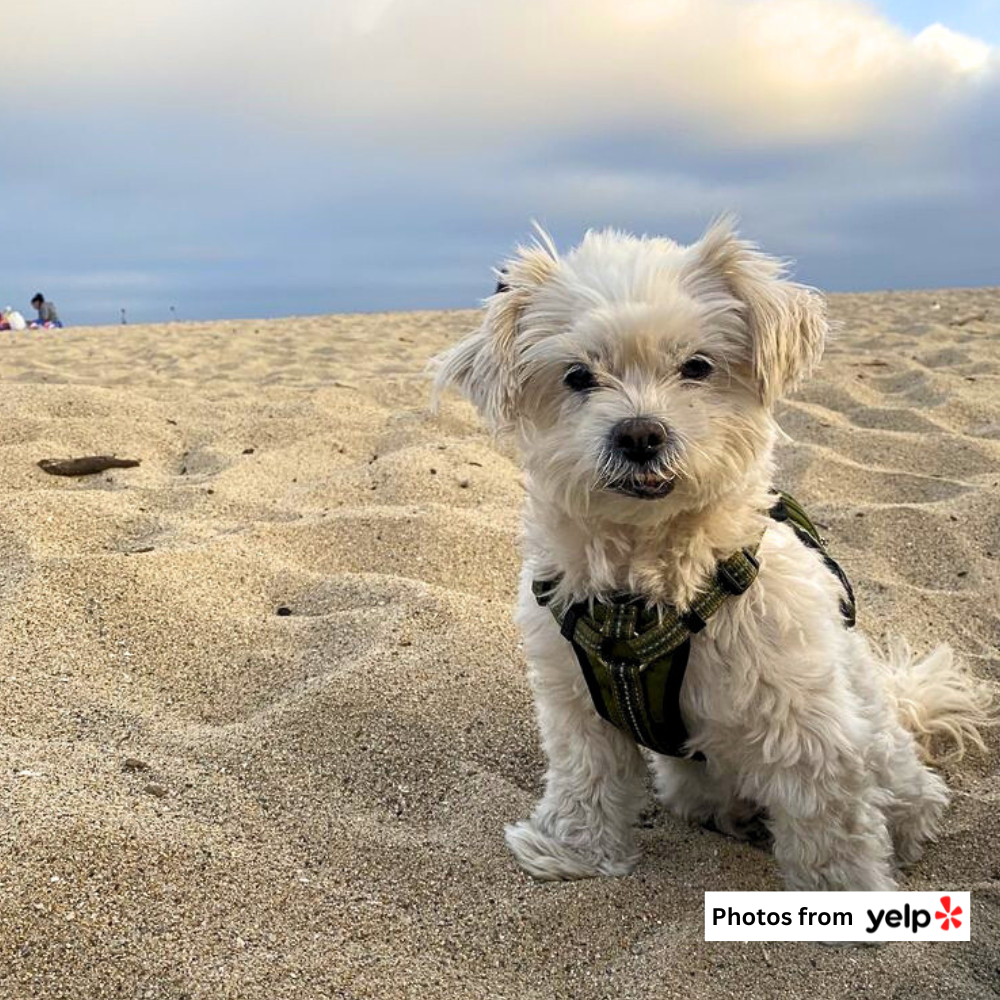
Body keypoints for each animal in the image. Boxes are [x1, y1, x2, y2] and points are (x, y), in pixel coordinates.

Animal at [432, 221, 992, 892]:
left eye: (697, 366)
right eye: (578, 376)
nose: (640, 434)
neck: (645, 589)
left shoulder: (807, 728)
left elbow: (830, 832)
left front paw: (841, 901)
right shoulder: (577, 704)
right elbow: (585, 779)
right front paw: (573, 852)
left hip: (881, 748)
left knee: (911, 799)